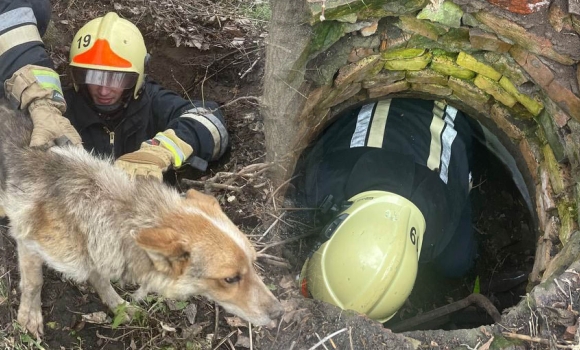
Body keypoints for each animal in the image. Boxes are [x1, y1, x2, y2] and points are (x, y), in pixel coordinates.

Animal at [0, 102, 284, 340]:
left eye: (253, 263)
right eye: (230, 279)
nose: (280, 312)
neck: (107, 208)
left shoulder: (97, 252)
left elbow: (101, 279)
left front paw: (116, 305)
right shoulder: (28, 242)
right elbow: (34, 283)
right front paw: (29, 317)